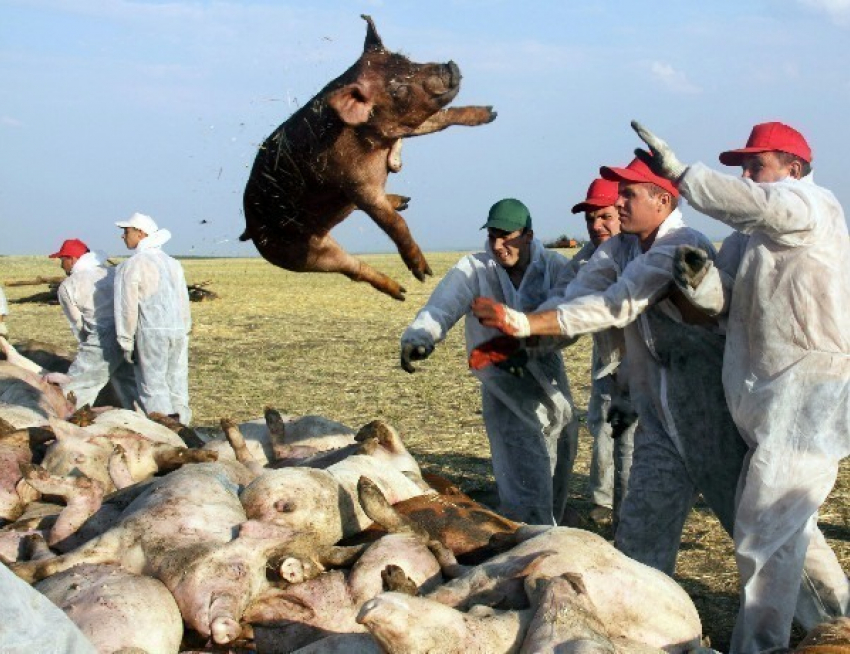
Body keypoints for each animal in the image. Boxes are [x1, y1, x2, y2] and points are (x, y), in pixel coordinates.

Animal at [240, 14, 496, 302]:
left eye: (405, 58)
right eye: (397, 89)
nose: (450, 66)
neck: (371, 134)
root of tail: (249, 229)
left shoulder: (403, 125)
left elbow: (442, 119)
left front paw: (490, 113)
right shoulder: (357, 184)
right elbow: (393, 223)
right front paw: (424, 272)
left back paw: (404, 202)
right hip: (300, 255)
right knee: (354, 268)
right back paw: (402, 292)